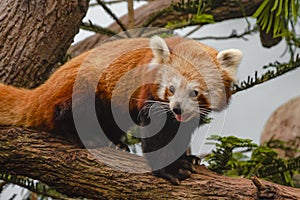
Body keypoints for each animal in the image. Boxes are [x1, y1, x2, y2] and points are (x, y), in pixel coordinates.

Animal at [0, 35, 241, 184]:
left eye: (195, 92)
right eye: (171, 88)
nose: (177, 109)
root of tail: (45, 88)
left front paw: (188, 158)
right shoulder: (149, 96)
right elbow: (156, 134)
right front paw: (171, 168)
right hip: (83, 90)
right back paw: (92, 138)